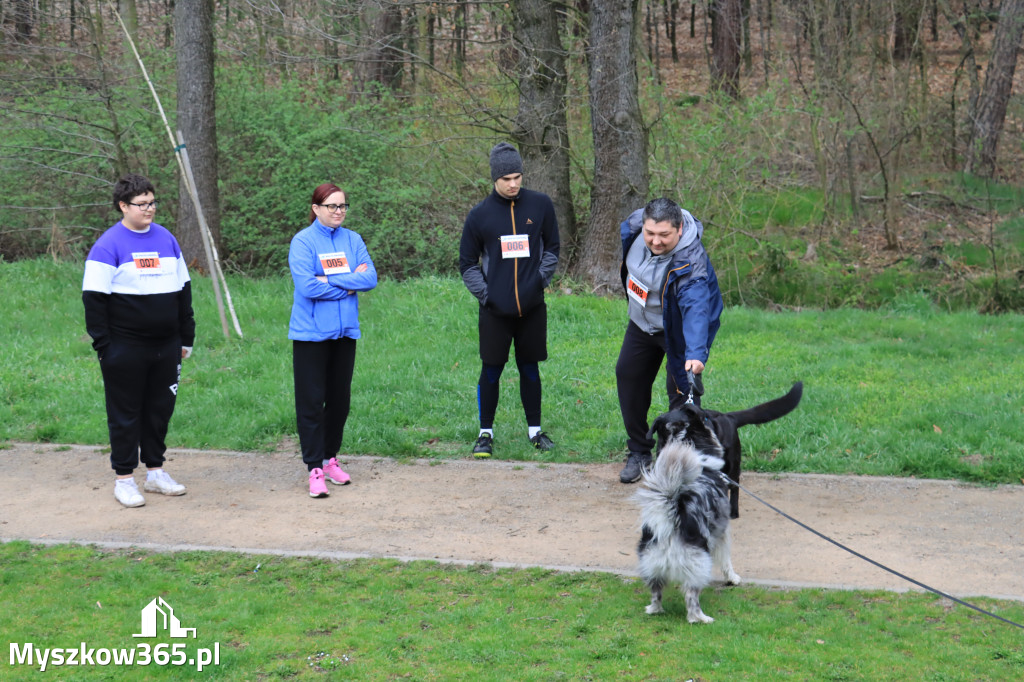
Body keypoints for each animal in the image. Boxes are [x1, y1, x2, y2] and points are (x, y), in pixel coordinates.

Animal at [634, 403, 741, 622]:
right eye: (706, 418)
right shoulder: (722, 532)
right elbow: (726, 559)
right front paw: (732, 578)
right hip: (699, 564)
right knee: (691, 599)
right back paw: (701, 619)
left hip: (650, 562)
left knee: (656, 594)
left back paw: (655, 610)